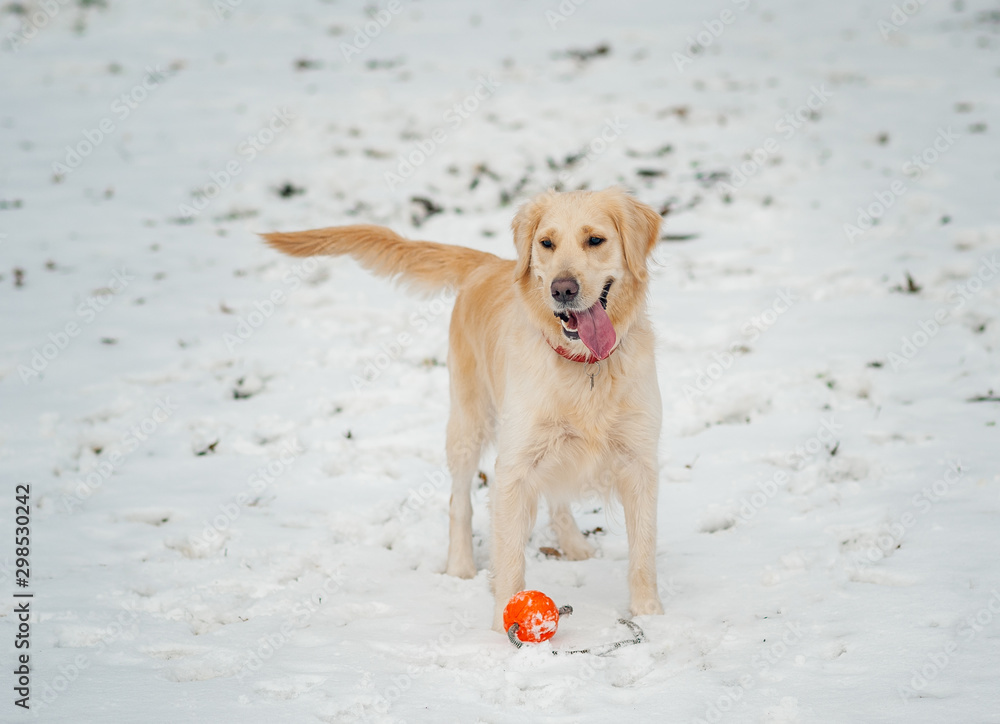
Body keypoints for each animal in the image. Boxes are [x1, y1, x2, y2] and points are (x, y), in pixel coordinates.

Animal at [264, 185, 664, 628]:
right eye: (547, 244)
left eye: (595, 240)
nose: (562, 289)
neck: (585, 366)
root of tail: (488, 262)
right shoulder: (513, 467)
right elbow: (509, 554)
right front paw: (505, 623)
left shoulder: (640, 461)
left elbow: (643, 549)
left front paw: (650, 613)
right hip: (467, 424)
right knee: (459, 501)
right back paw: (460, 566)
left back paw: (574, 545)